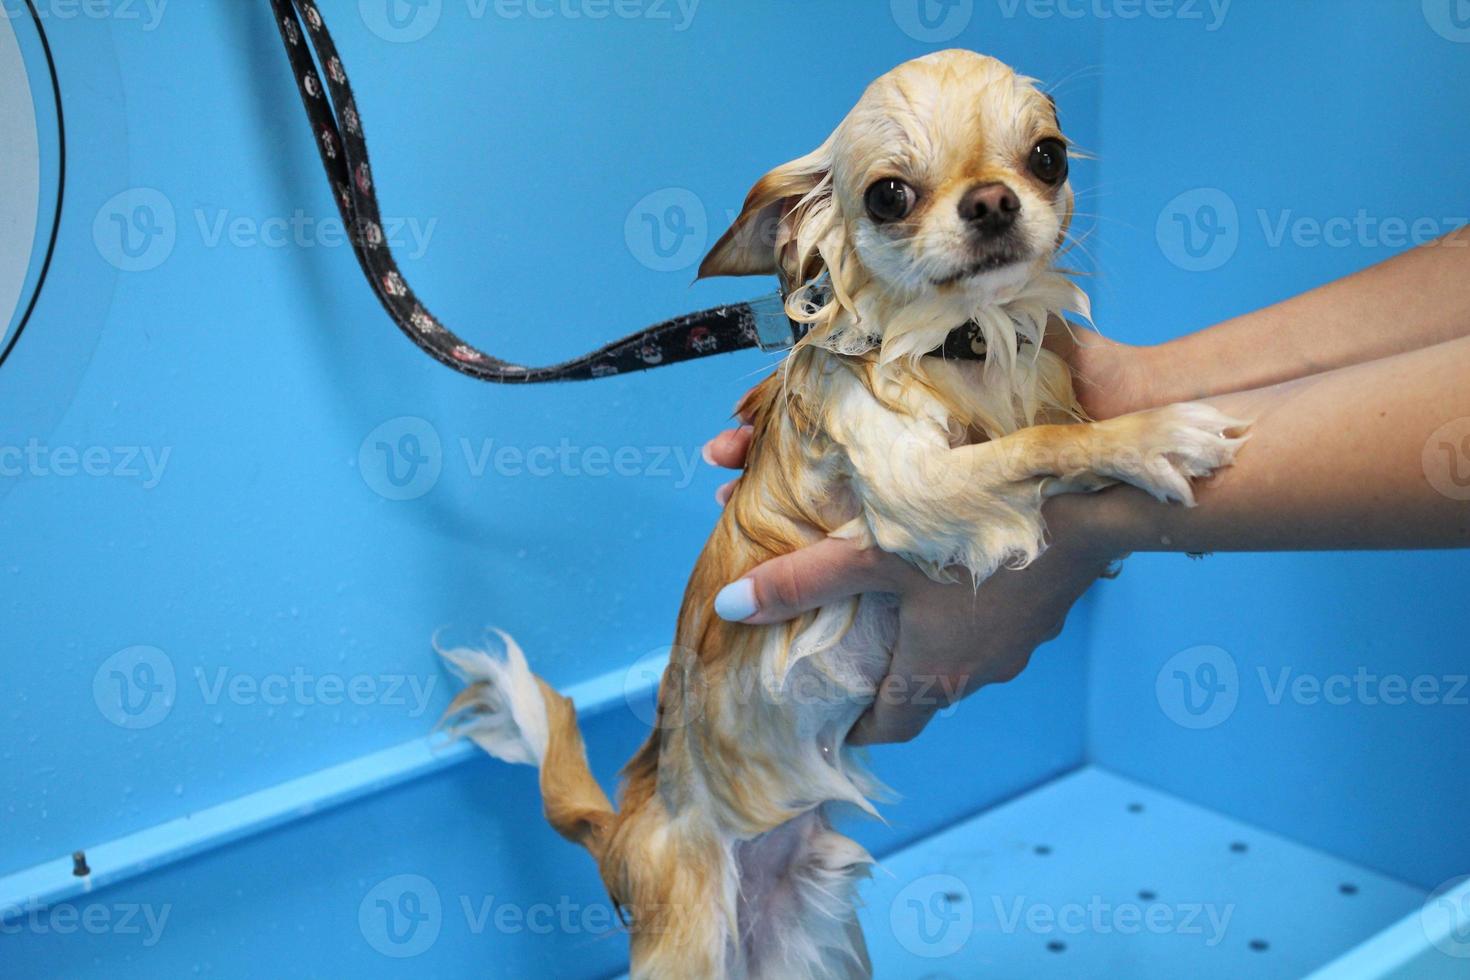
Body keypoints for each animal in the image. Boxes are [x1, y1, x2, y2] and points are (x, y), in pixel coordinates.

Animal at [441, 49, 1246, 975]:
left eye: (1048, 156)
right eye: (889, 195)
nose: (992, 200)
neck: (961, 347)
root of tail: (621, 835)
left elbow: (1046, 426)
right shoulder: (915, 486)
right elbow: (1040, 447)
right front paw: (1153, 439)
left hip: (814, 939)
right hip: (689, 943)